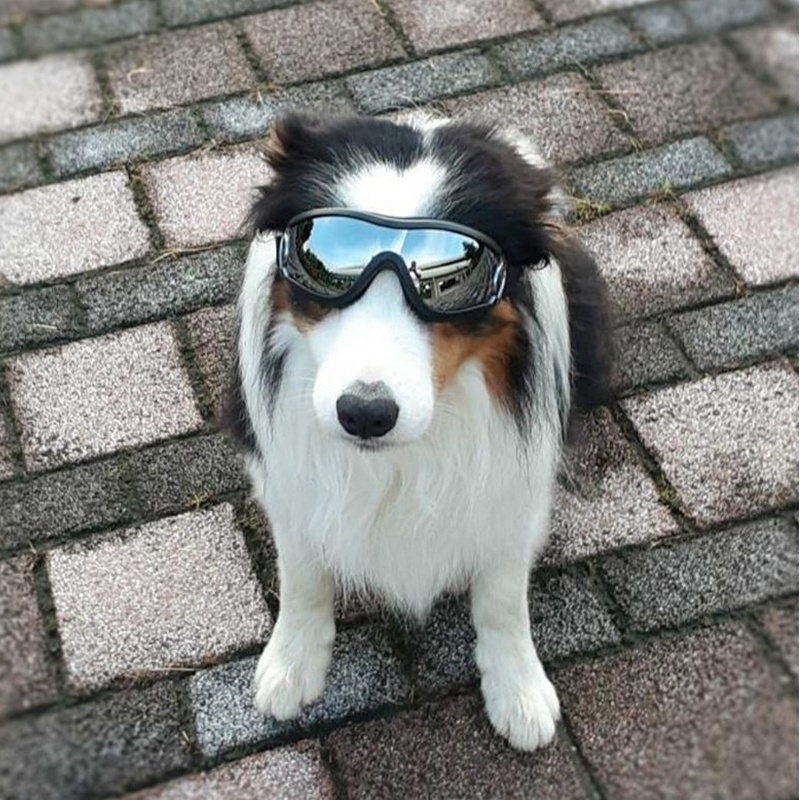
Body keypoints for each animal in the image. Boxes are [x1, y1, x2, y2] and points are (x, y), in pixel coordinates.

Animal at [225, 113, 612, 751]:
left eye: (454, 278)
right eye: (323, 259)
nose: (364, 413)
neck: (399, 458)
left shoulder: (513, 490)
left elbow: (503, 597)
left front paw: (518, 688)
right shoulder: (286, 478)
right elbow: (303, 571)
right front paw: (292, 663)